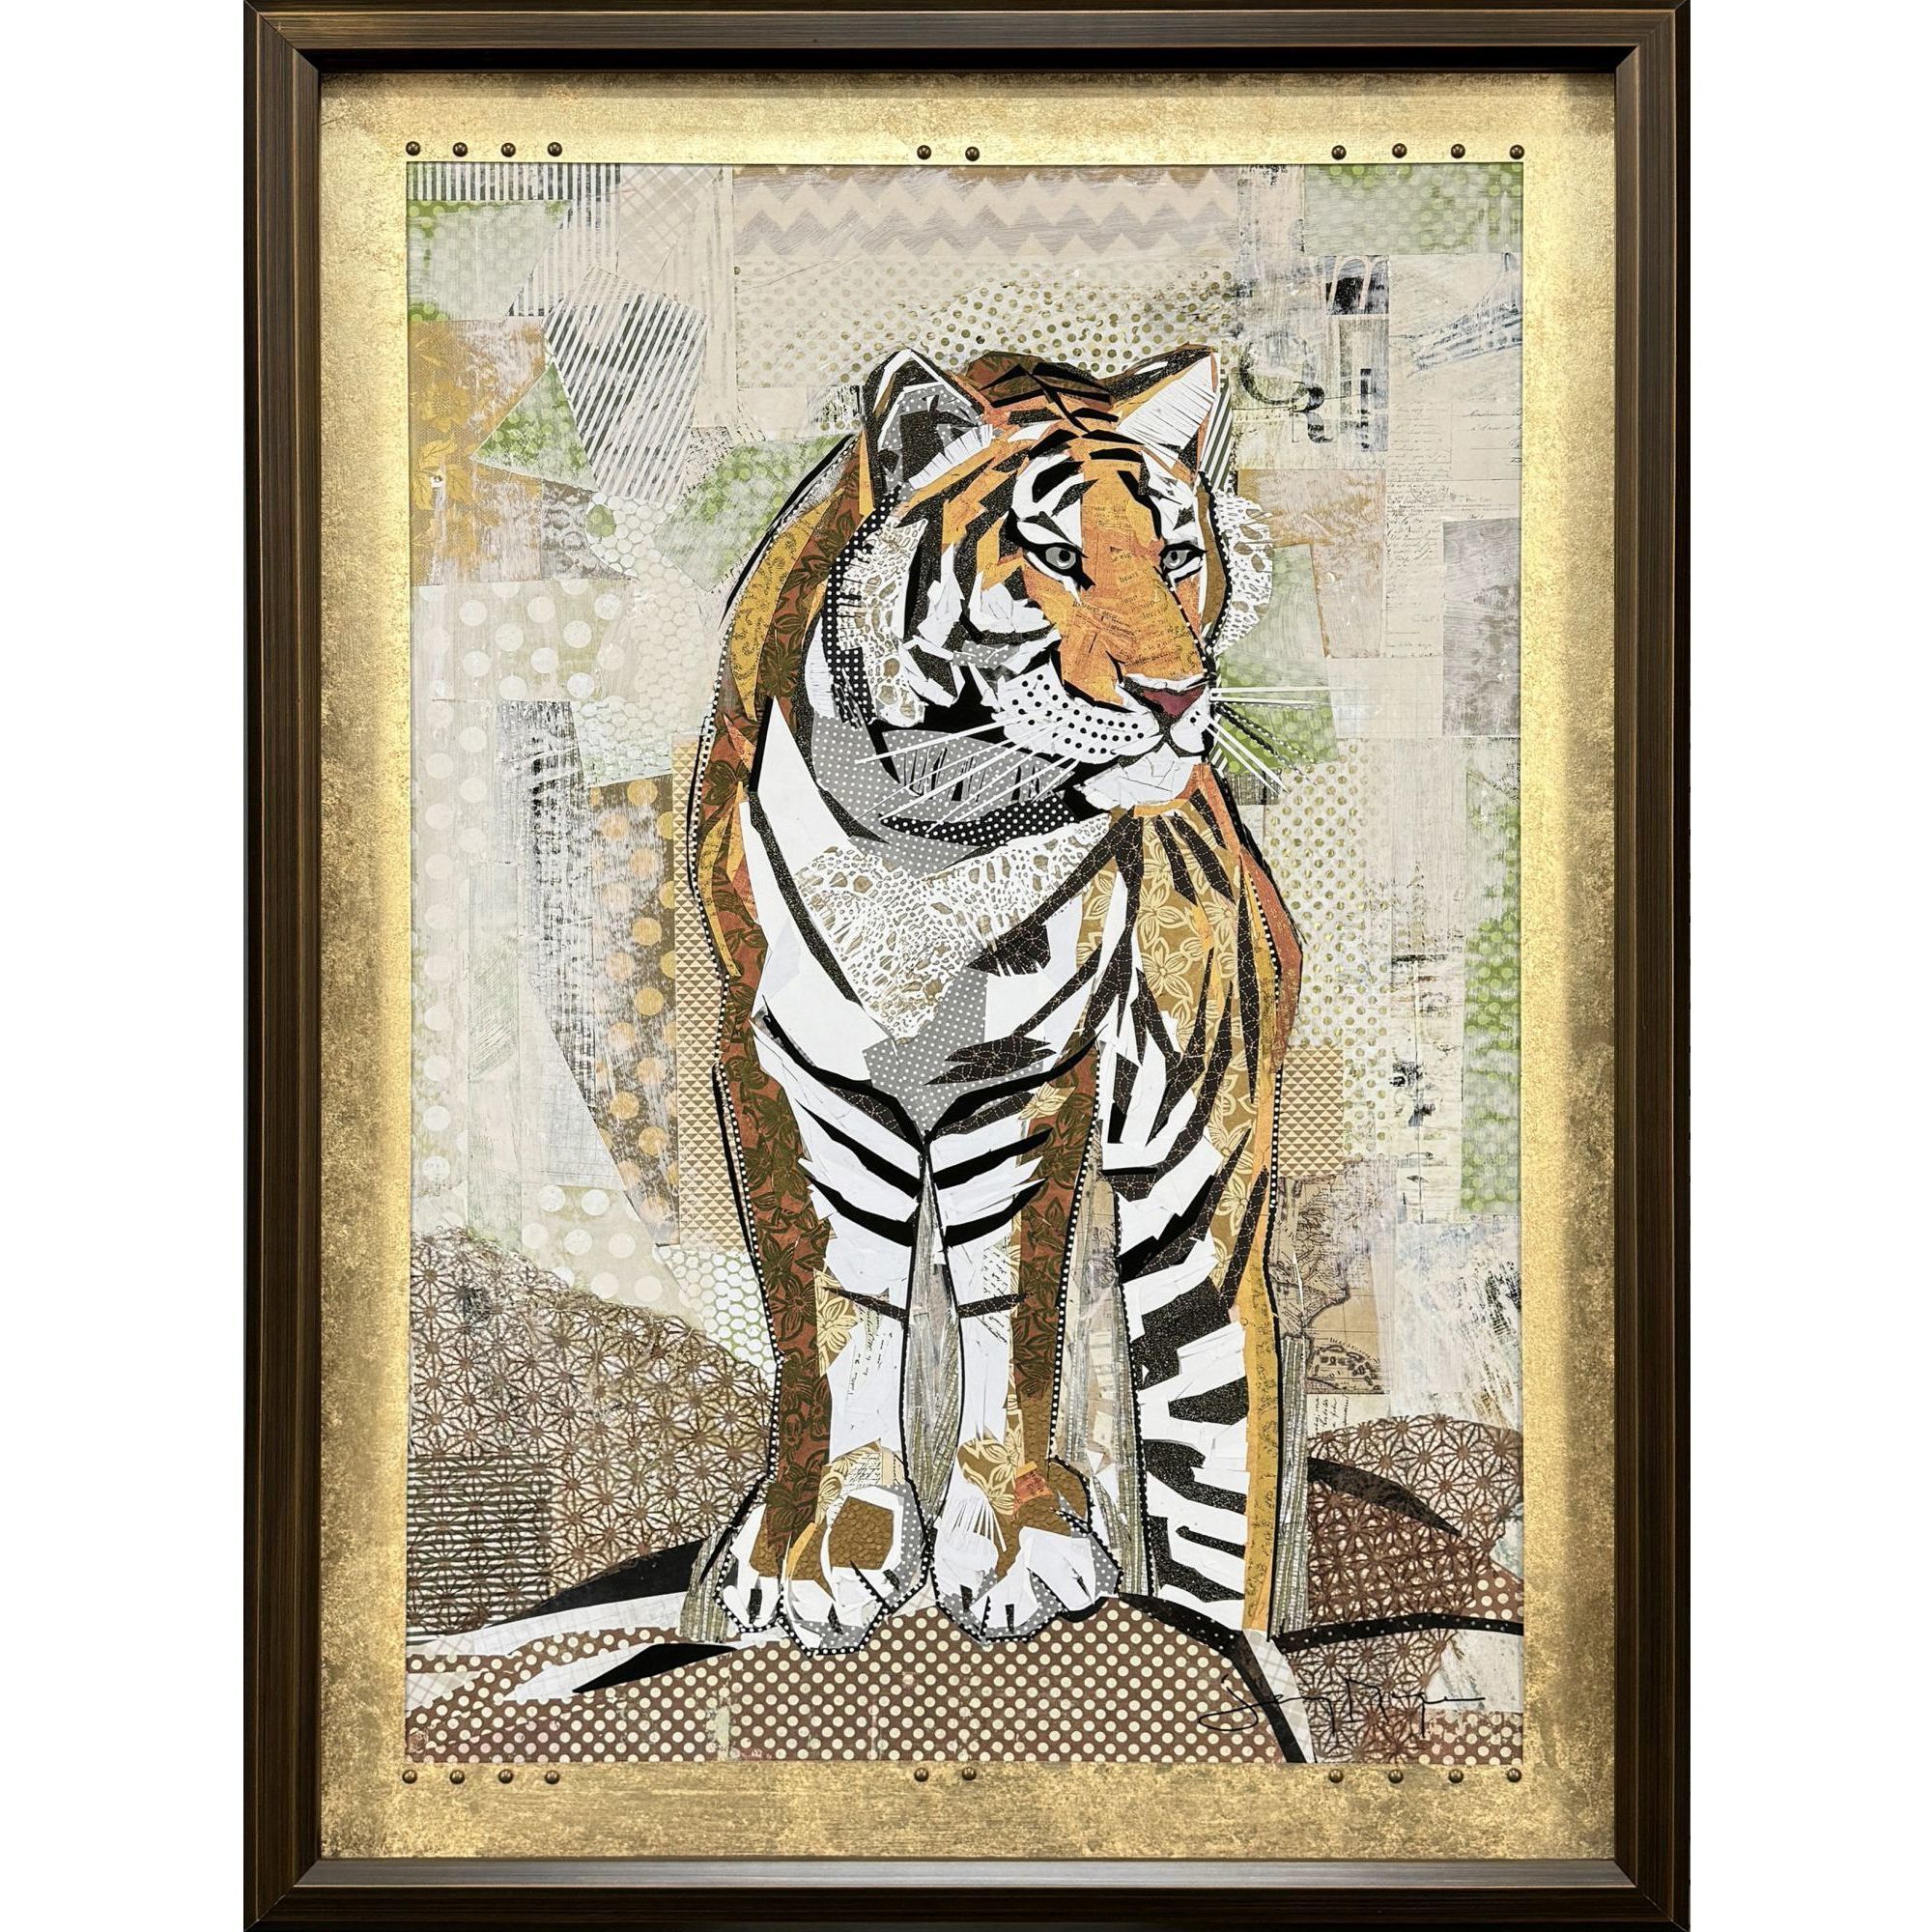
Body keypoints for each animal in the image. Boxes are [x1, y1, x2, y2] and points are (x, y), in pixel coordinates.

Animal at [689, 345, 1303, 1655]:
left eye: (1176, 553)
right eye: (1060, 556)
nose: (1176, 694)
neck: (930, 833)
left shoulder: (1026, 1076)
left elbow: (1010, 1321)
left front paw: (1017, 1544)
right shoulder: (781, 1060)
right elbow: (826, 1320)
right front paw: (817, 1543)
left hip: (1199, 1228)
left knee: (1211, 1469)